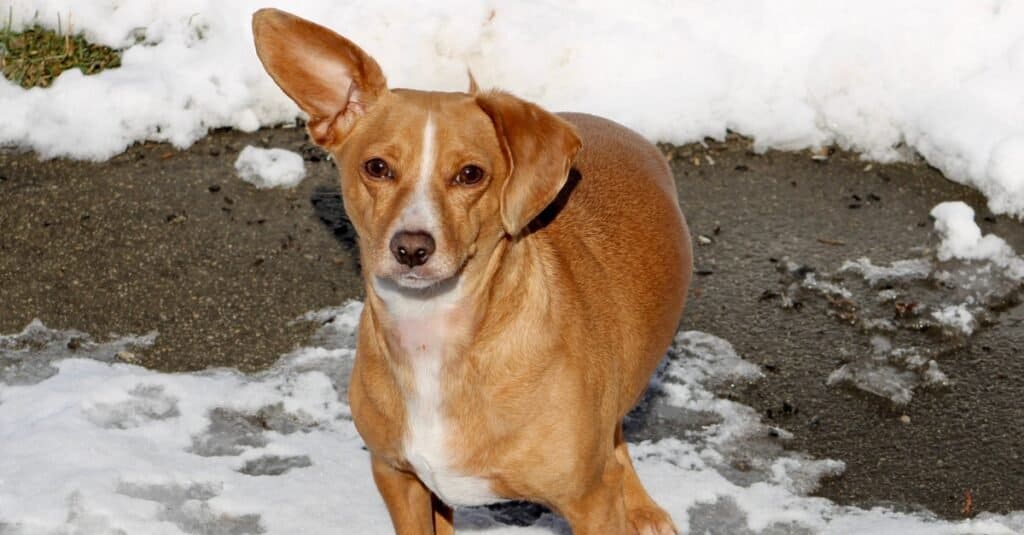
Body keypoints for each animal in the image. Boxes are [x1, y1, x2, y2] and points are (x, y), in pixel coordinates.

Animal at [251, 8, 692, 532]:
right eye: (376, 167)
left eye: (470, 174)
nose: (411, 248)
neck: (434, 340)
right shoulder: (400, 479)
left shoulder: (590, 503)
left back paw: (643, 508)